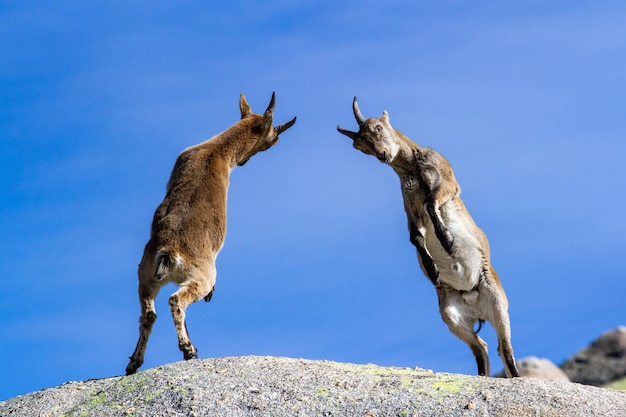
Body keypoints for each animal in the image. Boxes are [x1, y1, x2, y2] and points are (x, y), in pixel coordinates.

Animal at [125, 92, 296, 376]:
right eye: (273, 140)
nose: (244, 160)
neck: (217, 151)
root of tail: (169, 252)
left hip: (145, 276)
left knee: (149, 314)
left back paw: (134, 364)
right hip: (200, 278)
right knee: (176, 301)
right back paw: (188, 350)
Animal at [338, 97, 520, 376]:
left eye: (378, 127)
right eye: (361, 146)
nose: (383, 155)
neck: (411, 169)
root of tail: (473, 301)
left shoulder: (447, 184)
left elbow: (432, 203)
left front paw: (448, 242)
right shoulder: (412, 211)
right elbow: (415, 236)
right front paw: (432, 268)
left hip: (497, 301)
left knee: (504, 347)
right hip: (451, 315)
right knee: (481, 346)